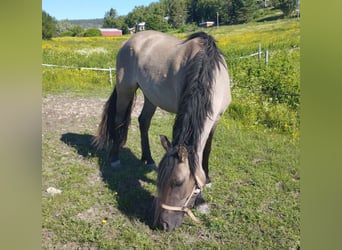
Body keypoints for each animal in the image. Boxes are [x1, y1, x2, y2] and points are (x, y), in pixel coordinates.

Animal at [94, 30, 230, 231]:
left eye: (178, 182)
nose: (163, 224)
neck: (208, 70)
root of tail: (131, 39)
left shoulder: (216, 120)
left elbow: (206, 150)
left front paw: (207, 182)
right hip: (125, 89)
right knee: (119, 121)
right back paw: (115, 158)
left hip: (150, 96)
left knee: (143, 122)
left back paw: (148, 159)